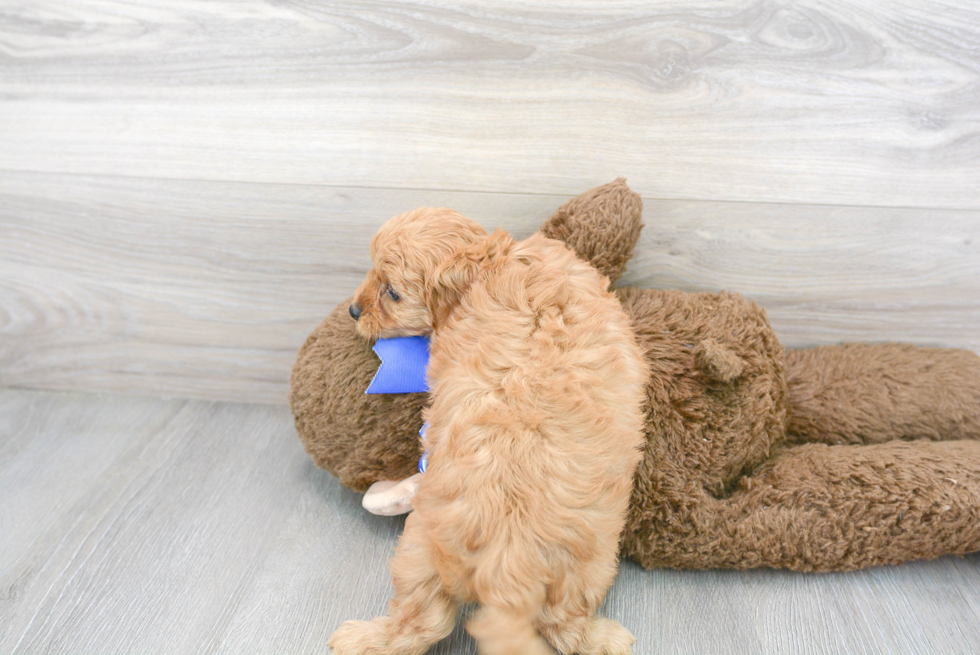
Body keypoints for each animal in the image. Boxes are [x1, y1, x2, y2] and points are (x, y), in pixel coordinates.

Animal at [332, 209, 652, 655]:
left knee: (421, 623)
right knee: (559, 622)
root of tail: (507, 562)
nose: (353, 310)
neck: (489, 263)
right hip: (585, 562)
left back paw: (362, 637)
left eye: (391, 292)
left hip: (421, 545)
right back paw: (601, 638)